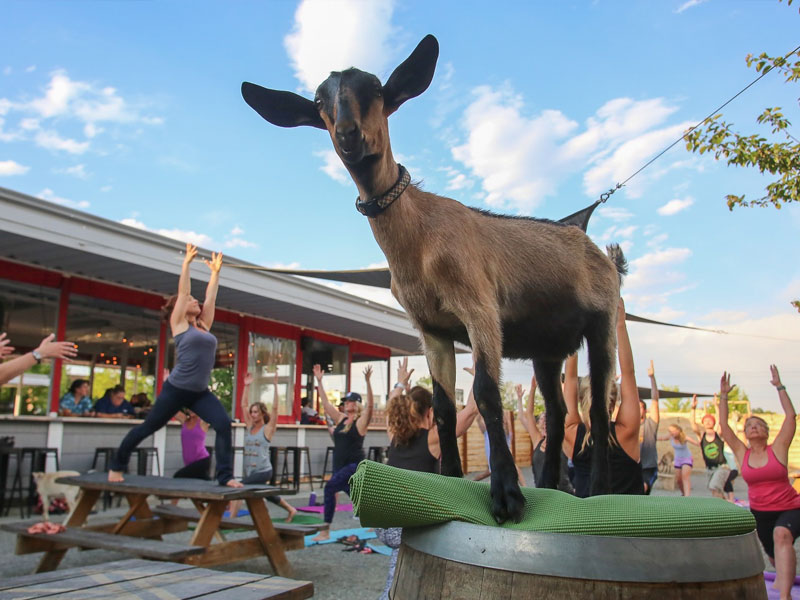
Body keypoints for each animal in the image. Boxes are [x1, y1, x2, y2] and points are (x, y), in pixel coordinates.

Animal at [242, 34, 624, 520]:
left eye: (376, 89)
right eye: (318, 101)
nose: (349, 135)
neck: (419, 240)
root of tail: (601, 253)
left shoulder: (480, 309)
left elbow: (484, 392)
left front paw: (507, 496)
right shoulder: (434, 330)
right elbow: (442, 406)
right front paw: (451, 481)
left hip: (603, 323)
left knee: (598, 410)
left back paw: (599, 492)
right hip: (547, 349)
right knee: (557, 415)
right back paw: (552, 485)